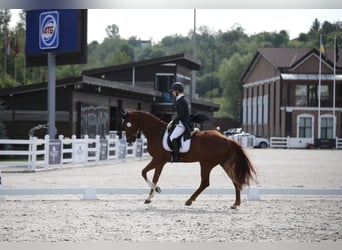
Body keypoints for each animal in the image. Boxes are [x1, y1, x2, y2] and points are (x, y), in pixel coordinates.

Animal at [121, 110, 255, 208]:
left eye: (127, 125)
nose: (129, 140)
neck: (156, 133)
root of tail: (226, 139)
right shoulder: (160, 162)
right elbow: (155, 177)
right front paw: (150, 197)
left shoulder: (158, 159)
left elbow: (143, 172)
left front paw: (156, 190)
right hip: (224, 163)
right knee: (234, 180)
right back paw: (235, 204)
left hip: (206, 164)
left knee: (205, 183)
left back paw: (189, 200)